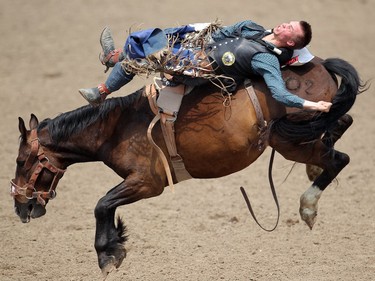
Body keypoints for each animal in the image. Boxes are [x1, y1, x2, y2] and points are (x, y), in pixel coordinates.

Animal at [10, 57, 366, 276]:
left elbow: (101, 204)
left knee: (340, 157)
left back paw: (308, 206)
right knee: (341, 127)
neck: (117, 126)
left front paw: (108, 254)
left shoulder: (147, 182)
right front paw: (116, 244)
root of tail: (320, 65)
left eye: (20, 160)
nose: (20, 206)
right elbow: (106, 206)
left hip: (289, 140)